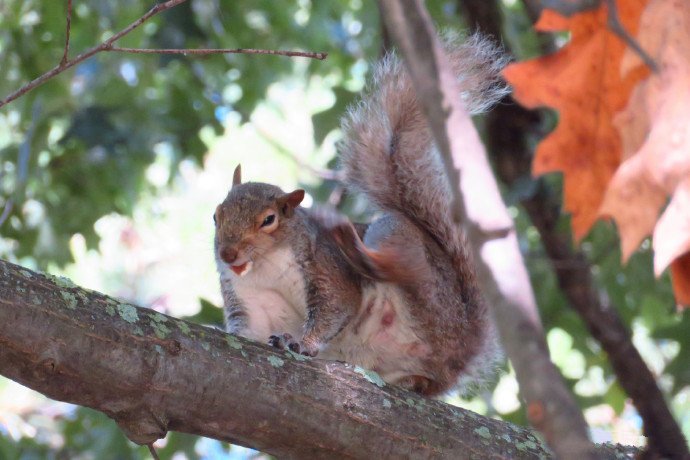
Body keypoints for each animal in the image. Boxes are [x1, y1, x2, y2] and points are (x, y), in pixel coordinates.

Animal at [212, 35, 508, 396]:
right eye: (216, 216)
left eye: (269, 220)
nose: (228, 253)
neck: (264, 269)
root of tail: (462, 349)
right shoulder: (248, 302)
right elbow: (247, 332)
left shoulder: (326, 269)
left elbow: (336, 306)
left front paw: (304, 343)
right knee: (422, 381)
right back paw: (413, 380)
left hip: (407, 254)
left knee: (400, 268)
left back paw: (355, 247)